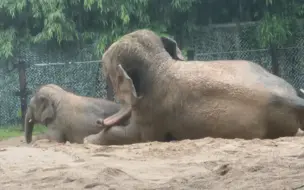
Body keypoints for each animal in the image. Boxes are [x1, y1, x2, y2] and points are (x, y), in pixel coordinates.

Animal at [84, 29, 304, 145]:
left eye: (109, 77)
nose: (99, 121)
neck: (160, 62)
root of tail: (294, 98)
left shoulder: (152, 112)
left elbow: (135, 136)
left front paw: (88, 140)